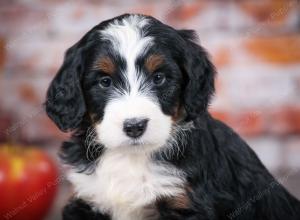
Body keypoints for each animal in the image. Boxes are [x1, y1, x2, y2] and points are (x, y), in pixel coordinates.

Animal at [45, 13, 300, 220]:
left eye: (159, 78)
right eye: (105, 82)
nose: (135, 126)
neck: (131, 158)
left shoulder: (184, 202)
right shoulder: (87, 199)